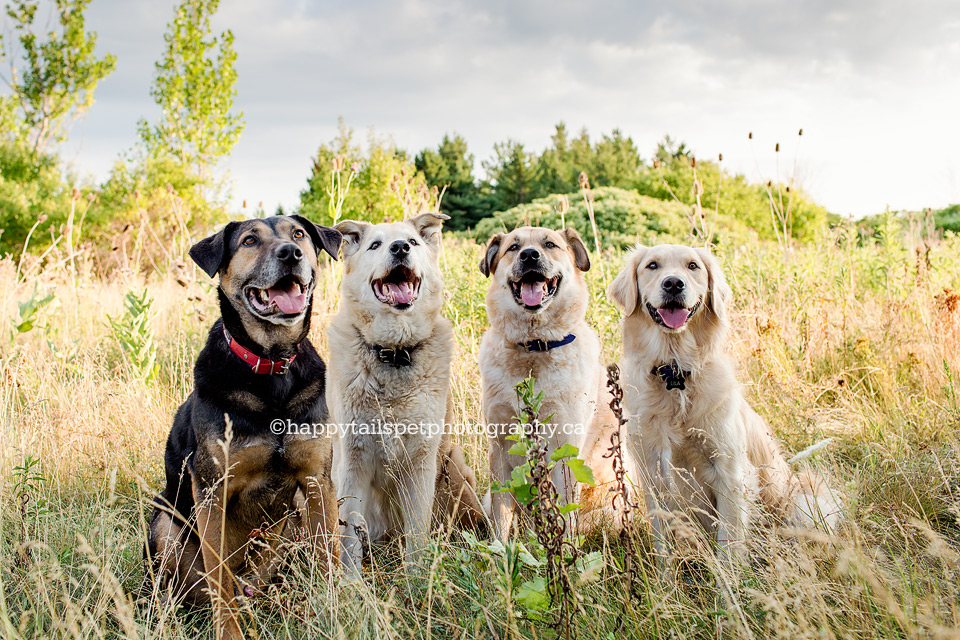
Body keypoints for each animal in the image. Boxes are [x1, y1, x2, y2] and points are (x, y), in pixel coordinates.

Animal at [141, 215, 340, 640]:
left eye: (299, 235)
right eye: (249, 241)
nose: (291, 254)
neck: (272, 365)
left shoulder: (317, 480)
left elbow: (330, 554)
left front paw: (341, 610)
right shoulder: (211, 489)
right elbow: (219, 579)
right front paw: (229, 632)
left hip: (294, 518)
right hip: (166, 522)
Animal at [328, 214, 484, 576]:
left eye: (412, 242)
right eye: (375, 245)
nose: (399, 248)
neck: (395, 353)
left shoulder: (421, 463)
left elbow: (416, 533)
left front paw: (416, 578)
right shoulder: (350, 465)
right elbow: (349, 538)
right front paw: (351, 585)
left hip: (455, 469)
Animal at [478, 226, 632, 540]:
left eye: (550, 245)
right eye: (514, 247)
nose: (530, 255)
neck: (534, 347)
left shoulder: (565, 449)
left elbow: (565, 514)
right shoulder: (499, 448)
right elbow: (501, 515)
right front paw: (500, 551)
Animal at [608, 245, 840, 564]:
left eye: (693, 266)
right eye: (652, 266)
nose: (673, 284)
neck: (676, 374)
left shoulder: (730, 470)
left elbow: (728, 543)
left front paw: (730, 578)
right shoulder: (653, 474)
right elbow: (663, 545)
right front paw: (665, 577)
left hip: (807, 501)